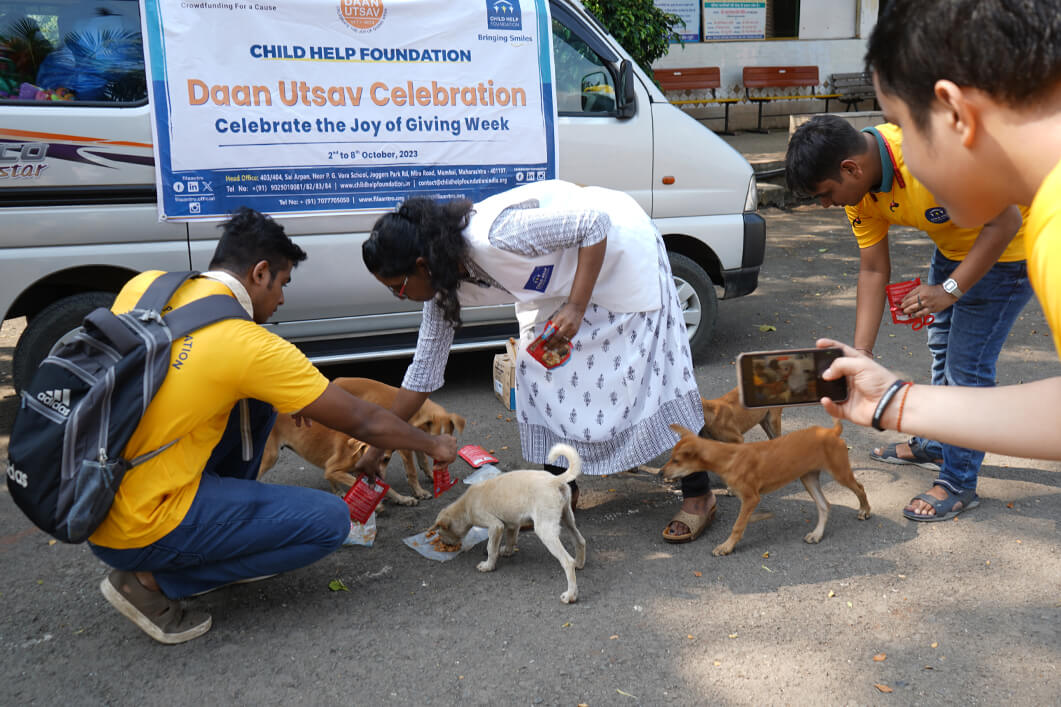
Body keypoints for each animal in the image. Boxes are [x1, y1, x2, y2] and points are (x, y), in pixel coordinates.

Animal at [428, 441, 589, 598]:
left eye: (440, 533)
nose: (444, 544)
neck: (465, 506)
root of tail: (555, 480)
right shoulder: (512, 523)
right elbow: (511, 540)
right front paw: (506, 551)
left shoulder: (495, 526)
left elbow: (491, 548)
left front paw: (488, 565)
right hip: (567, 518)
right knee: (580, 541)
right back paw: (579, 564)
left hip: (545, 530)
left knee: (567, 561)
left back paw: (571, 595)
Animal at [662, 420, 870, 552]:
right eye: (671, 458)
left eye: (676, 460)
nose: (661, 473)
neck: (728, 457)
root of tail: (832, 431)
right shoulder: (749, 499)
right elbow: (746, 519)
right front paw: (761, 517)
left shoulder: (751, 497)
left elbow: (738, 525)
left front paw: (727, 547)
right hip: (808, 478)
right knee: (824, 505)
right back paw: (817, 534)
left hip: (839, 472)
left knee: (859, 487)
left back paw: (865, 510)